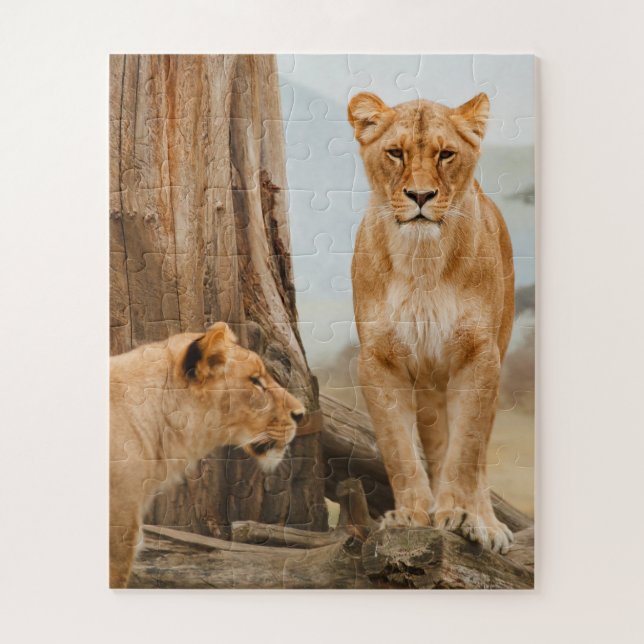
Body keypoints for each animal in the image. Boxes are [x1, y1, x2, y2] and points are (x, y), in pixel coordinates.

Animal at [348, 92, 515, 553]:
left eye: (445, 154)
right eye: (395, 153)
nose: (420, 195)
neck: (422, 261)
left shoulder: (479, 357)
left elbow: (465, 451)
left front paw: (458, 514)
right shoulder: (379, 360)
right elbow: (398, 448)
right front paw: (411, 514)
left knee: (478, 453)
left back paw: (485, 523)